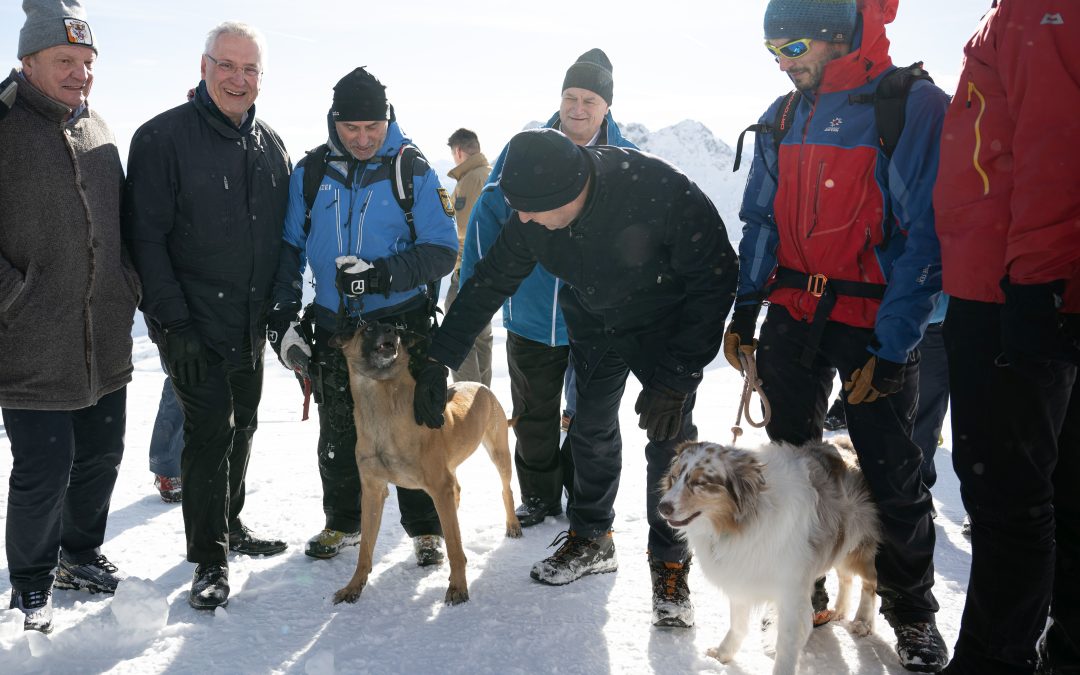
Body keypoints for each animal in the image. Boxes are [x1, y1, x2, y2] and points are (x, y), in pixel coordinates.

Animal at [326, 321, 520, 604]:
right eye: (368, 328)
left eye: (395, 328)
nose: (390, 331)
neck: (382, 411)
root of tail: (481, 386)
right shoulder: (373, 490)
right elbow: (365, 550)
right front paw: (353, 587)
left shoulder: (439, 486)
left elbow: (454, 547)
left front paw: (458, 587)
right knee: (458, 495)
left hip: (498, 452)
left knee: (506, 489)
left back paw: (513, 525)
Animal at [656, 440, 876, 669]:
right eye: (674, 477)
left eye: (700, 482)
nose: (663, 507)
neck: (742, 522)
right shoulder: (742, 576)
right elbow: (738, 624)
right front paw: (723, 654)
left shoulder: (791, 591)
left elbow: (787, 642)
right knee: (846, 577)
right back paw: (840, 610)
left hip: (861, 548)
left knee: (870, 584)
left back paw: (862, 622)